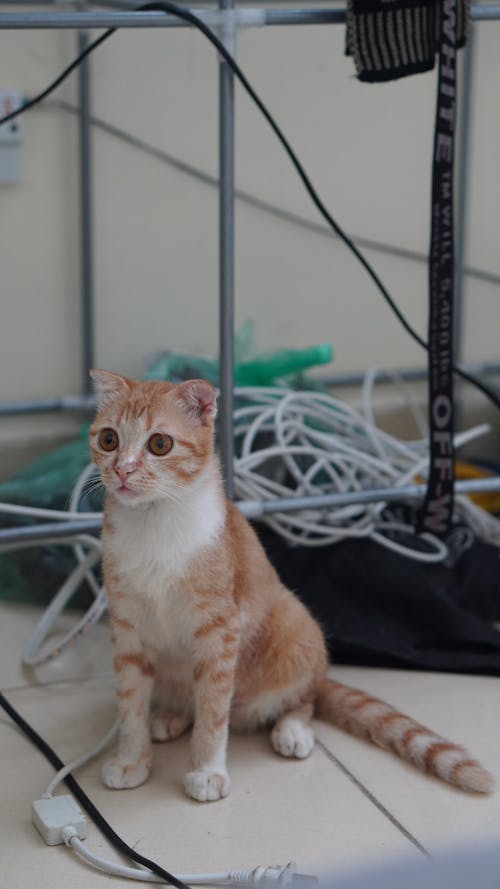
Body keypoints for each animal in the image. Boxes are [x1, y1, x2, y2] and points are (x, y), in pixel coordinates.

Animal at [90, 372, 492, 800]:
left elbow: (213, 710)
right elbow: (131, 705)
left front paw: (208, 770)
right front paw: (131, 760)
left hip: (296, 627)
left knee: (303, 698)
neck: (153, 526)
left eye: (160, 444)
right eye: (109, 439)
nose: (123, 470)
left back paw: (292, 729)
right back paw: (170, 715)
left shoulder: (221, 628)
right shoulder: (127, 628)